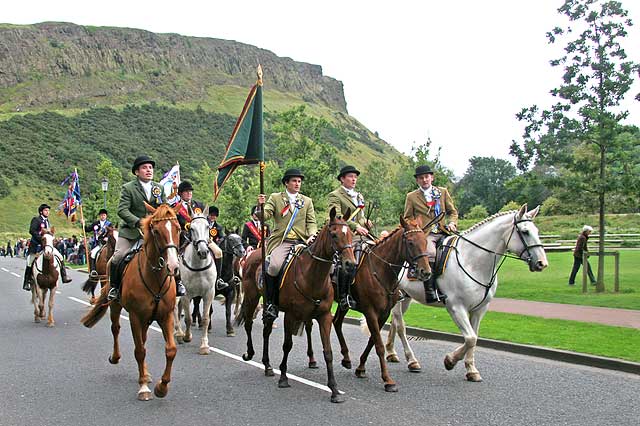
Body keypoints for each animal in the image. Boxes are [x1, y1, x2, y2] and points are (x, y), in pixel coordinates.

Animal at [80, 203, 180, 400]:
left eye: (178, 229)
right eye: (156, 231)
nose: (173, 266)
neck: (155, 277)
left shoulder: (166, 316)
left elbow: (170, 349)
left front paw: (162, 387)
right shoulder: (135, 316)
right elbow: (139, 351)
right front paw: (143, 388)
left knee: (143, 338)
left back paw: (147, 374)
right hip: (116, 305)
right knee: (116, 329)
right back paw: (116, 357)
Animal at [175, 211, 218, 354]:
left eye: (207, 227)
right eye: (192, 228)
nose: (203, 252)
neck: (199, 266)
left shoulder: (209, 293)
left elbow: (205, 319)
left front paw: (204, 345)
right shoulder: (186, 294)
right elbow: (188, 318)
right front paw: (187, 336)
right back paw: (179, 333)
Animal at [235, 208, 356, 404]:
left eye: (351, 234)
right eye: (334, 234)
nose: (350, 264)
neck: (311, 275)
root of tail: (253, 253)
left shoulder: (324, 317)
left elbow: (328, 352)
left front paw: (334, 390)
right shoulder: (291, 315)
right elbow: (287, 345)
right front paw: (283, 378)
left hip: (269, 305)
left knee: (266, 331)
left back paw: (267, 365)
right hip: (252, 297)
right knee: (248, 324)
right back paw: (250, 353)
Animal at [382, 205, 548, 382]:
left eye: (536, 230)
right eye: (525, 231)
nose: (542, 263)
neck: (472, 261)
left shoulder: (479, 309)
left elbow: (474, 337)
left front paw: (471, 369)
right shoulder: (456, 307)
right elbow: (470, 338)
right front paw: (450, 360)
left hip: (406, 297)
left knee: (394, 322)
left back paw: (391, 352)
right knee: (401, 326)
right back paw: (411, 360)